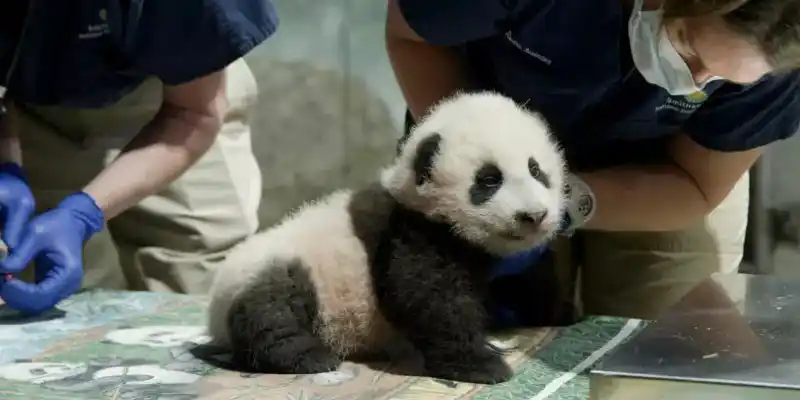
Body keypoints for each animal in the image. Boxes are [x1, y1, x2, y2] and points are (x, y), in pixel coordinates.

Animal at [206, 91, 566, 384]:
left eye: (536, 170)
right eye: (489, 180)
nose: (534, 215)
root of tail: (213, 316)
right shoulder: (411, 232)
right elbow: (427, 297)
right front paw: (481, 364)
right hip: (275, 269)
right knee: (273, 309)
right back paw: (308, 357)